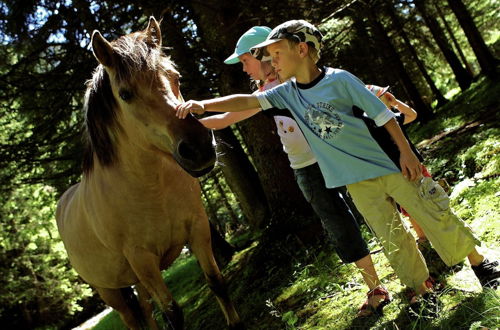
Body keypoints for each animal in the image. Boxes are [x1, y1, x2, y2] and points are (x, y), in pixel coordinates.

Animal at [55, 16, 241, 328]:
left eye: (176, 76)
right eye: (125, 94)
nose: (199, 147)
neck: (152, 189)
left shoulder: (198, 228)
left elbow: (217, 282)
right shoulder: (142, 260)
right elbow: (172, 312)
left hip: (137, 282)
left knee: (145, 311)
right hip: (110, 290)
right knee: (132, 318)